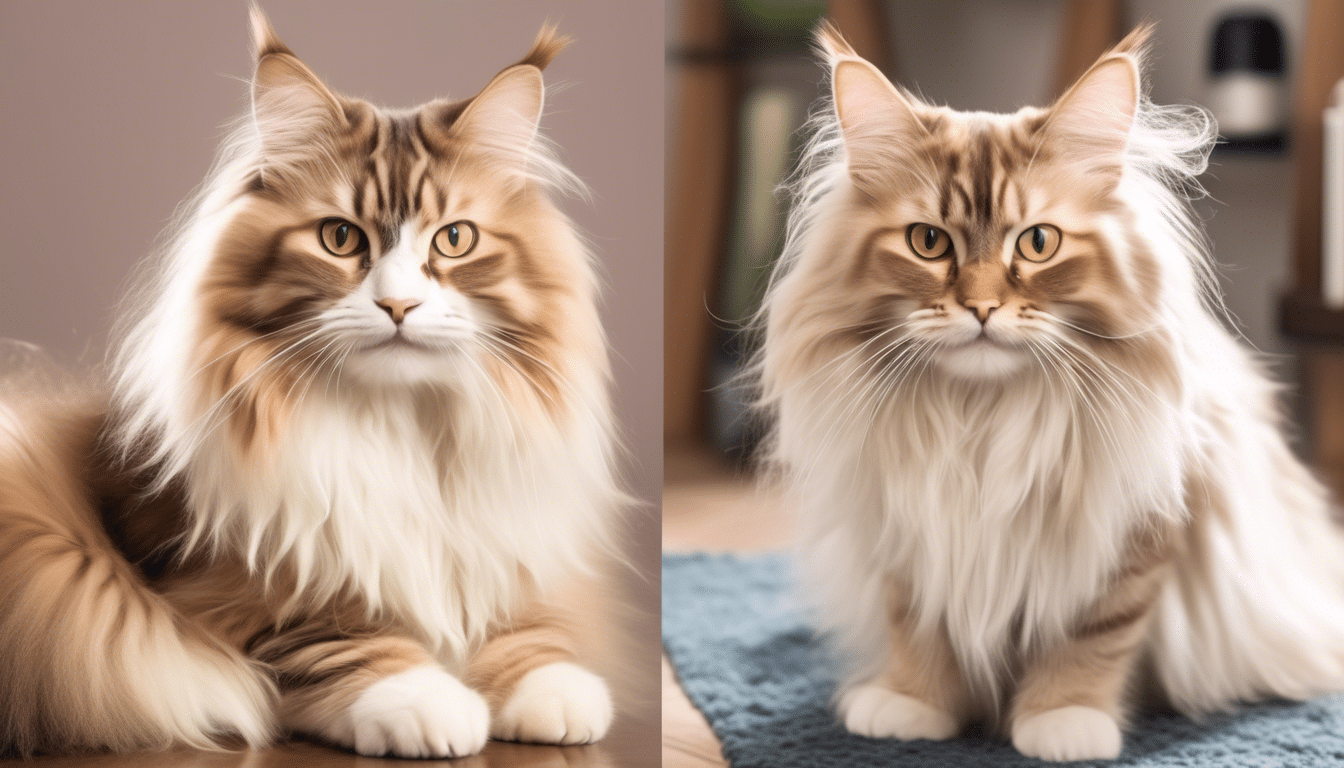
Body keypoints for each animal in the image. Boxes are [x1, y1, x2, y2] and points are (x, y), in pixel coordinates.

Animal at [0, 7, 623, 763]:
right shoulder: (226, 589)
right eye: (339, 238)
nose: (398, 305)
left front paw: (549, 689)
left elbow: (529, 631)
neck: (401, 428)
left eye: (454, 240)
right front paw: (427, 702)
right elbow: (344, 637)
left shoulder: (504, 551)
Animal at [763, 22, 1344, 763]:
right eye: (929, 242)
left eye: (1038, 243)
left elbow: (1093, 637)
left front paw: (1063, 720)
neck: (980, 415)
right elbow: (917, 624)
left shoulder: (1131, 533)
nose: (981, 308)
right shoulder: (905, 522)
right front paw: (913, 704)